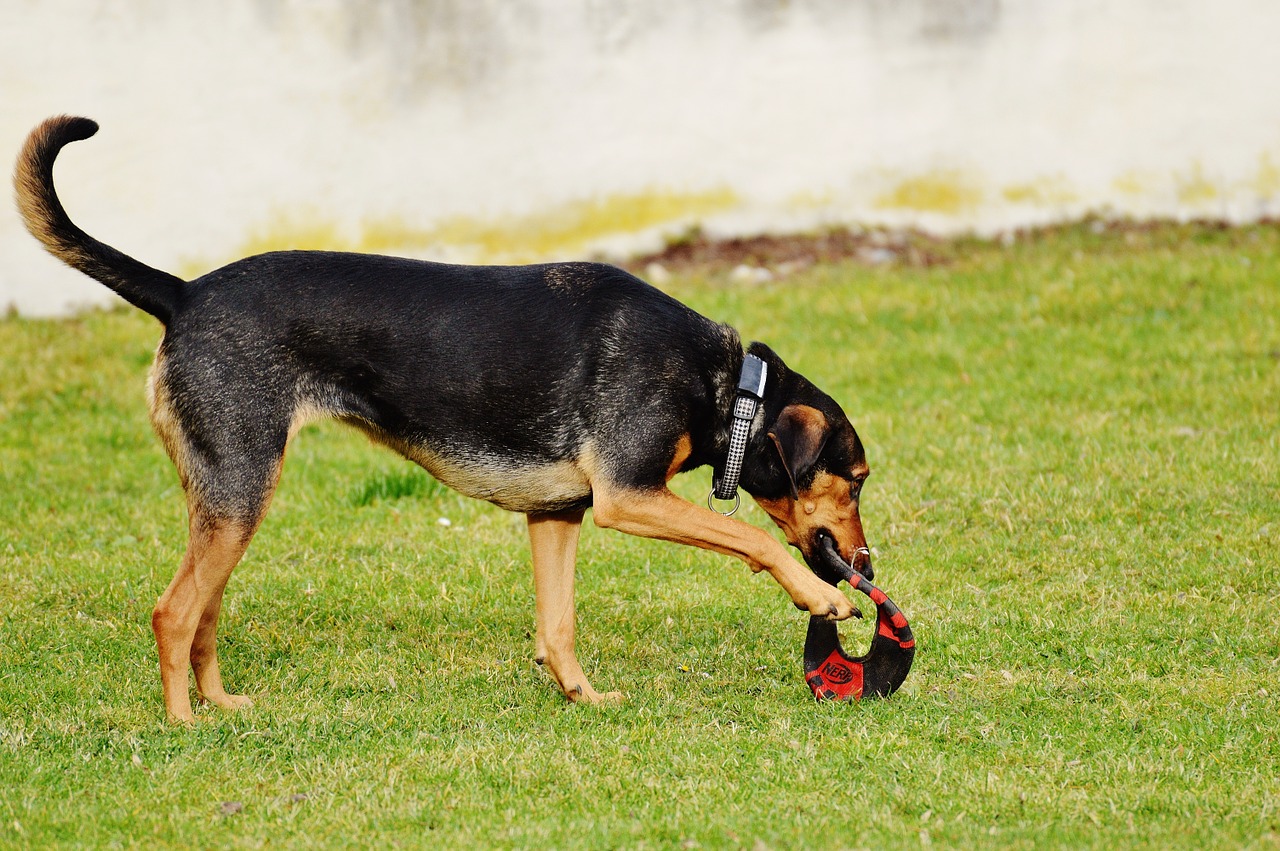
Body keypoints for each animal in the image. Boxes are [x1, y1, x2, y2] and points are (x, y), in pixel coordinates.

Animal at [15, 114, 875, 721]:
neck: (730, 389)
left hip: (225, 500)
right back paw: (184, 725)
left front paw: (581, 697)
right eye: (859, 479)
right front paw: (819, 597)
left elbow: (558, 626)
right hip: (241, 490)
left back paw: (220, 704)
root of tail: (183, 292)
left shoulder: (558, 513)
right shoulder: (627, 496)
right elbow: (751, 539)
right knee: (173, 611)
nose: (867, 565)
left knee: (204, 610)